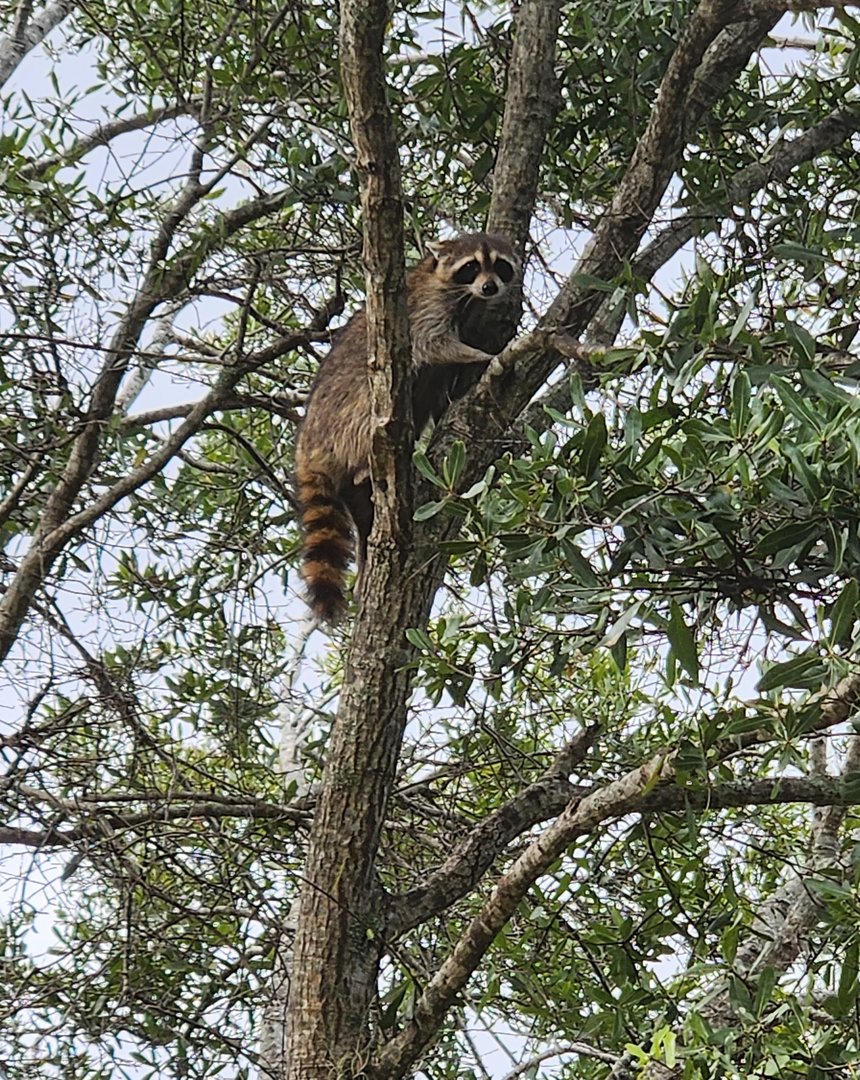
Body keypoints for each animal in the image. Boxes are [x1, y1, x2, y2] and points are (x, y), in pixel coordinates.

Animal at [295, 232, 521, 623]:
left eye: (501, 266)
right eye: (472, 267)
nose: (490, 287)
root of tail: (308, 446)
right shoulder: (424, 310)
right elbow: (434, 345)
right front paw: (485, 355)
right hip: (348, 414)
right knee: (370, 405)